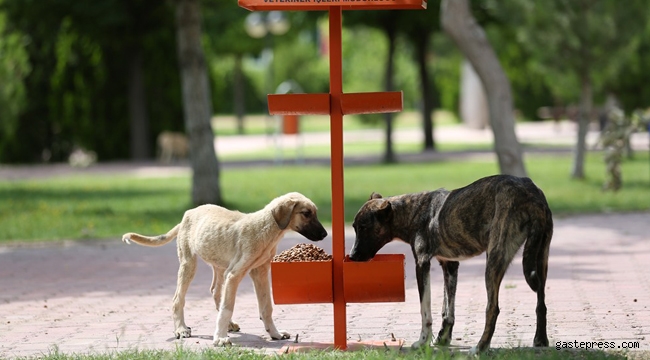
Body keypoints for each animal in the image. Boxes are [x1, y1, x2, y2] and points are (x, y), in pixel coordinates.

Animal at [119, 191, 326, 346]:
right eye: (306, 213)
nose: (325, 234)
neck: (266, 229)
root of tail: (188, 214)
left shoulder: (259, 272)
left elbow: (266, 306)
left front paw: (274, 334)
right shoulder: (235, 274)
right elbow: (228, 307)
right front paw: (219, 339)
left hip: (219, 266)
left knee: (215, 292)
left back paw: (229, 325)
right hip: (189, 264)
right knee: (178, 299)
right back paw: (181, 329)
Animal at [350, 176, 552, 352]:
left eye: (364, 227)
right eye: (354, 227)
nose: (351, 257)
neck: (412, 212)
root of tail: (530, 194)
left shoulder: (422, 264)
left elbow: (425, 311)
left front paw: (423, 342)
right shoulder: (450, 266)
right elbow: (447, 310)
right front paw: (443, 338)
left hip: (494, 259)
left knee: (492, 309)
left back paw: (480, 348)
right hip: (541, 259)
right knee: (541, 303)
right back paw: (540, 340)